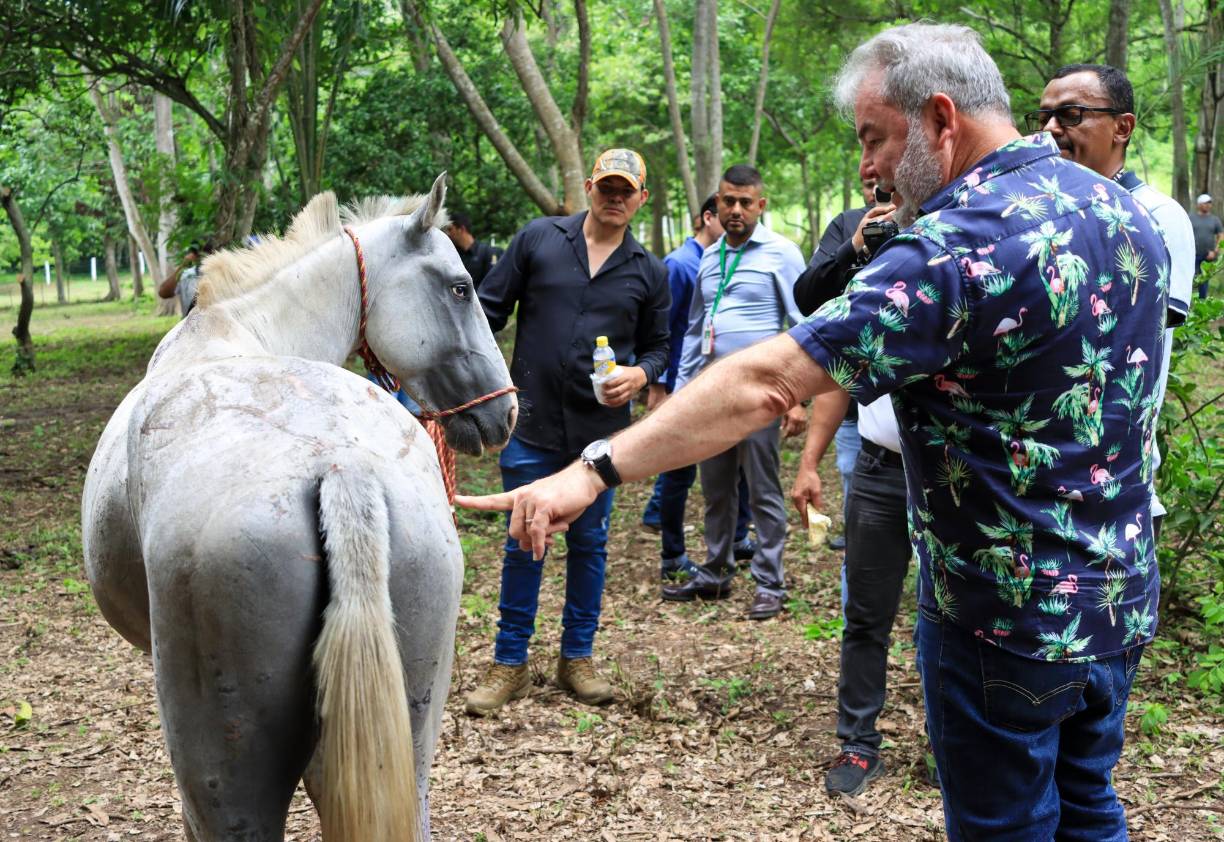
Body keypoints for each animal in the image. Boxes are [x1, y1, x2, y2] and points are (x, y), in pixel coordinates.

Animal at [81, 174, 516, 841]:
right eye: (460, 287)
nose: (506, 411)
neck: (230, 329)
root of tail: (342, 471)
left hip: (225, 783)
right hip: (412, 741)